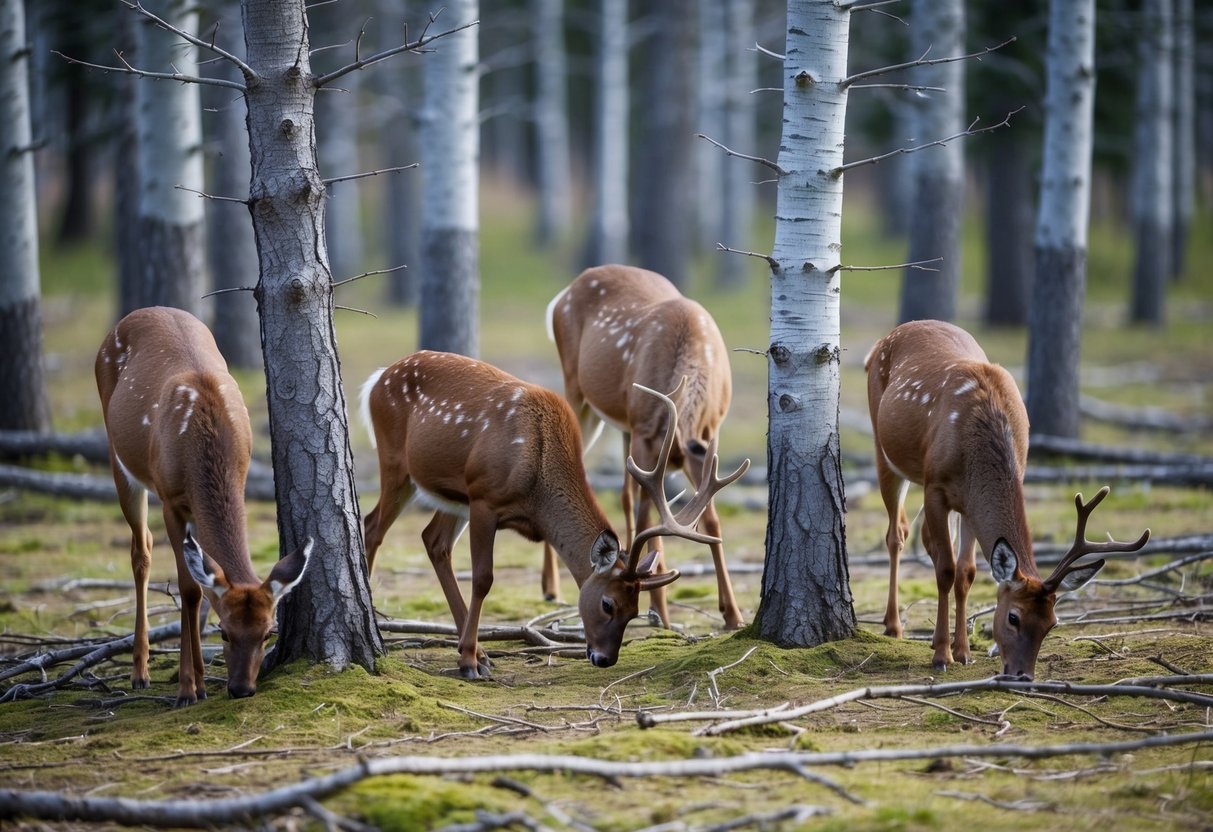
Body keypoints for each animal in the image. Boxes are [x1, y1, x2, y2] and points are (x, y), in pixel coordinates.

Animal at [95, 309, 312, 708]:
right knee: (141, 549)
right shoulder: (170, 499)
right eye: (224, 633)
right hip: (119, 456)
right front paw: (187, 688)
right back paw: (140, 672)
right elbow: (190, 589)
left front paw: (199, 680)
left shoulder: (239, 480)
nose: (242, 688)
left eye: (268, 633)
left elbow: (207, 583)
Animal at [354, 349, 742, 679]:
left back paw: (480, 651)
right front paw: (468, 663)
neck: (536, 492)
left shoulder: (474, 496)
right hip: (396, 461)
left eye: (635, 611)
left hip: (451, 492)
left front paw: (472, 655)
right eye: (607, 604)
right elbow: (483, 578)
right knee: (372, 526)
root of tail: (375, 380)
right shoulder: (484, 497)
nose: (605, 659)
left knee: (433, 541)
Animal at [545, 266, 742, 630]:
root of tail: (563, 293)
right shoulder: (646, 436)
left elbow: (711, 521)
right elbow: (648, 517)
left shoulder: (708, 437)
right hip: (578, 390)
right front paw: (660, 611)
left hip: (622, 425)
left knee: (625, 494)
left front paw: (732, 614)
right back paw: (550, 588)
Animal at [863, 322, 1145, 679]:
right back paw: (894, 625)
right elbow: (946, 570)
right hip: (883, 450)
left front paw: (962, 651)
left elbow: (966, 572)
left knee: (927, 538)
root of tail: (881, 342)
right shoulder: (936, 486)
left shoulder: (969, 501)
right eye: (1013, 616)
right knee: (897, 534)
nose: (1023, 675)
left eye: (1052, 624)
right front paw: (942, 656)